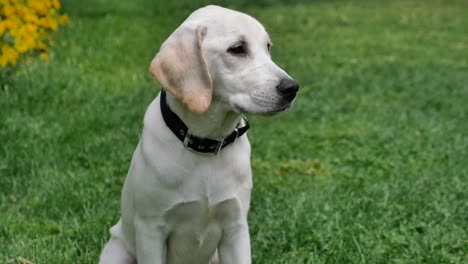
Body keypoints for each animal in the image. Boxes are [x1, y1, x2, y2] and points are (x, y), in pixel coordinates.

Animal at [99, 4, 300, 264]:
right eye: (237, 49)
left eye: (268, 47)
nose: (292, 88)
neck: (206, 144)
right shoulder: (150, 230)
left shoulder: (235, 228)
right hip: (117, 250)